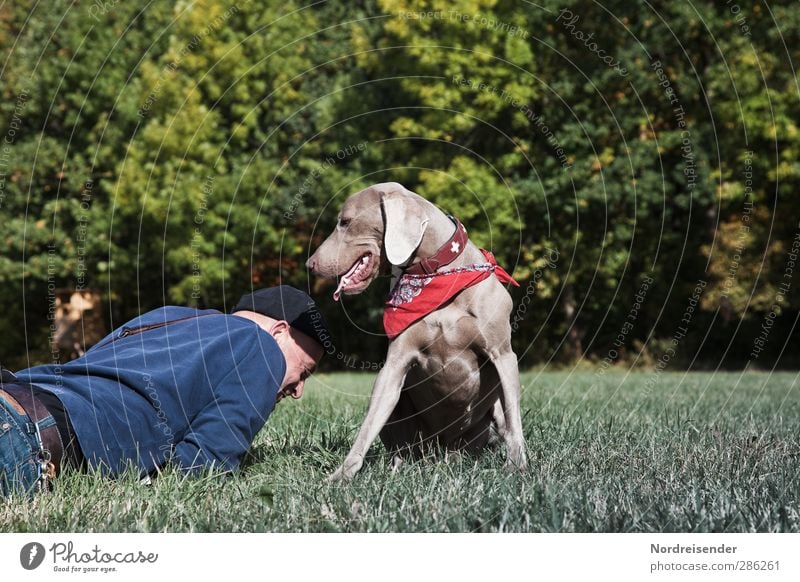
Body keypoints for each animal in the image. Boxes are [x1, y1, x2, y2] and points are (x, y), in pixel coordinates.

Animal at [304, 184, 524, 484]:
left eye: (345, 222)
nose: (310, 264)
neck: (436, 274)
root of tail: (444, 451)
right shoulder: (395, 364)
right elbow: (368, 425)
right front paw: (341, 475)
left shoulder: (503, 354)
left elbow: (514, 417)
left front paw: (517, 467)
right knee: (402, 446)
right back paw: (400, 468)